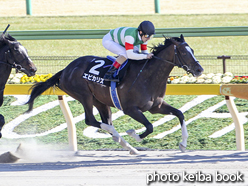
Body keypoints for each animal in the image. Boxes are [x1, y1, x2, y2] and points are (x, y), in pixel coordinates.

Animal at [26, 34, 203, 154]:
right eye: (184, 53)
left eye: (193, 50)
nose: (199, 69)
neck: (147, 76)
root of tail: (65, 70)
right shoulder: (130, 109)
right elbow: (149, 126)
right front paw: (134, 134)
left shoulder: (156, 106)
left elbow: (180, 114)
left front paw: (183, 144)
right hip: (84, 96)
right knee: (91, 120)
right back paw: (119, 136)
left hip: (100, 101)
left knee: (105, 121)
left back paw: (127, 145)